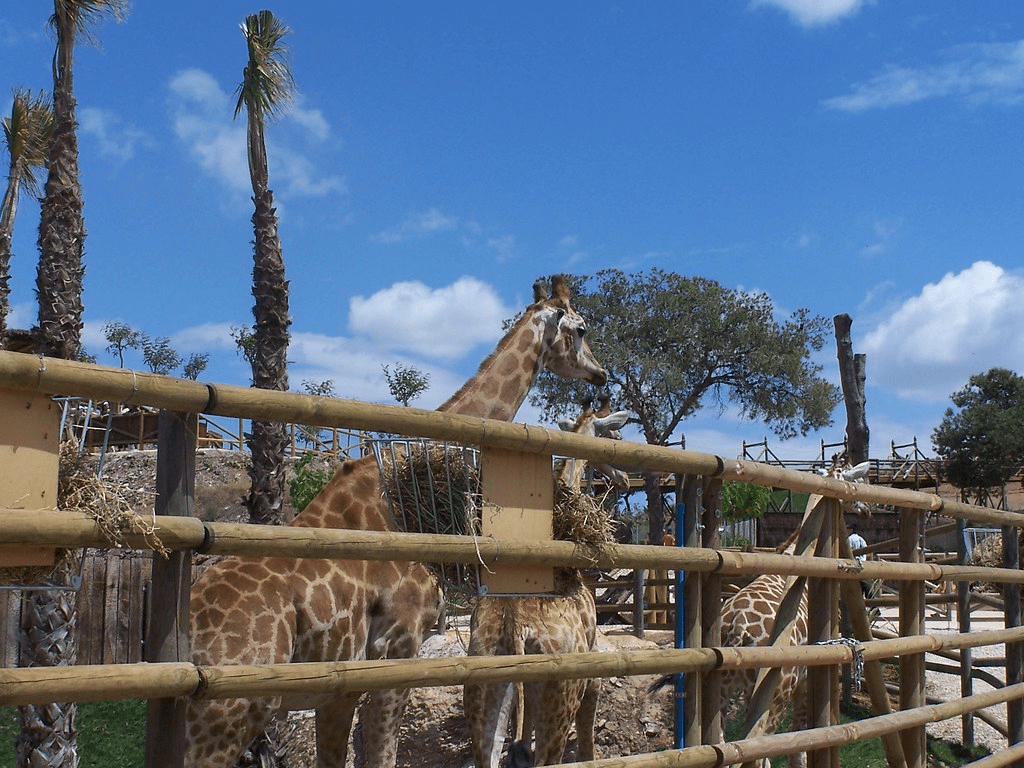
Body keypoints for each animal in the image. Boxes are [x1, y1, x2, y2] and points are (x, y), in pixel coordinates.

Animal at [185, 276, 607, 768]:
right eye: (581, 328)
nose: (601, 377)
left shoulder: (342, 685)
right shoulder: (398, 647)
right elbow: (383, 755)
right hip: (225, 716)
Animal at [465, 397, 630, 768]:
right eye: (614, 433)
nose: (626, 478)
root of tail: (514, 629)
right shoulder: (592, 676)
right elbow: (587, 747)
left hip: (485, 690)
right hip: (560, 699)